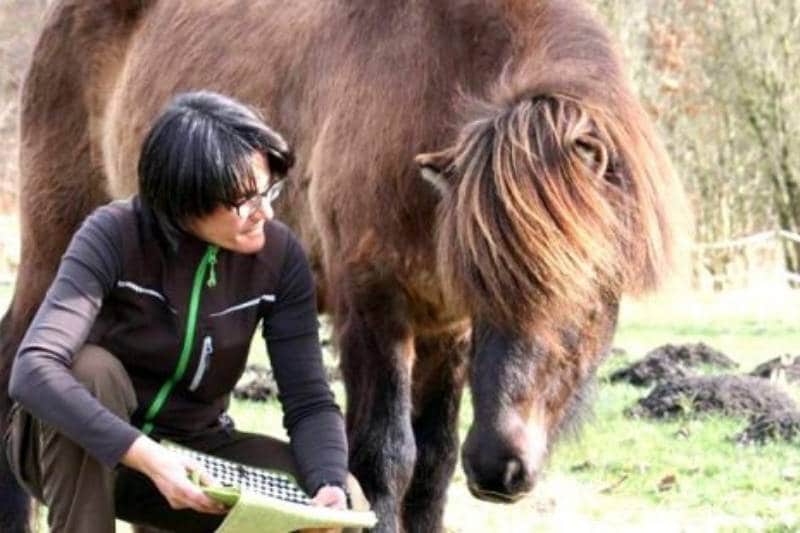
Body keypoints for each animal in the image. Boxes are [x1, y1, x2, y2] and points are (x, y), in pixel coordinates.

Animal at [0, 1, 688, 532]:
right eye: (487, 284)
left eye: (592, 289)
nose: (500, 466)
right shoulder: (374, 307)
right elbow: (383, 460)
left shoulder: (445, 328)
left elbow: (431, 465)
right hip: (55, 244)